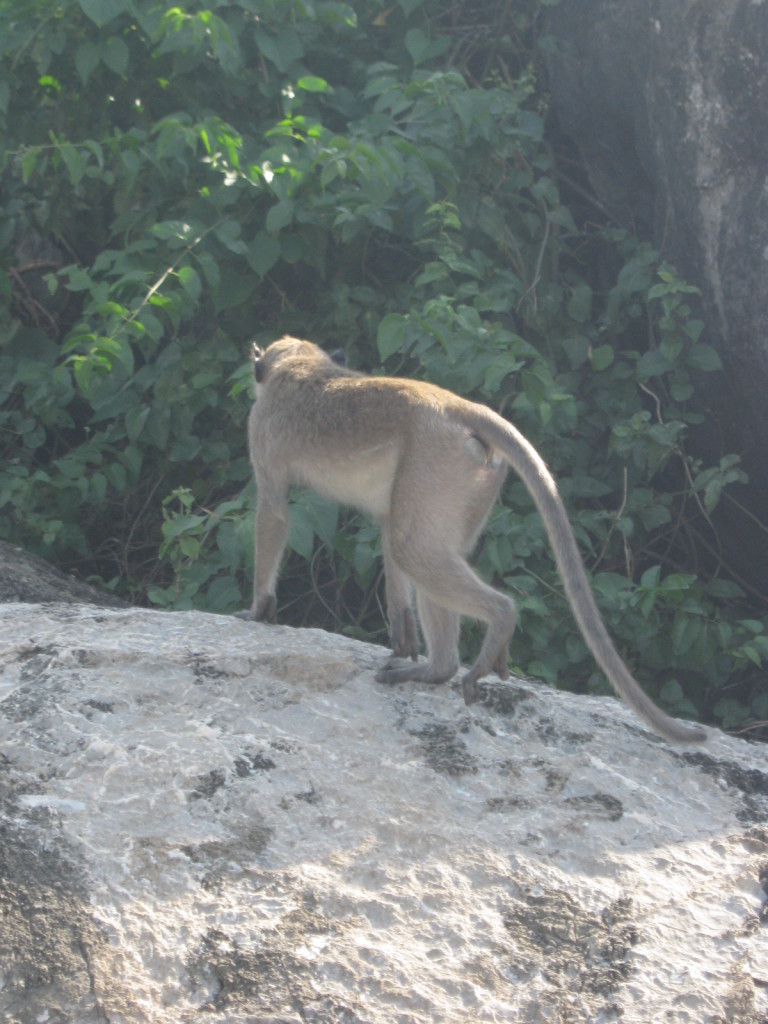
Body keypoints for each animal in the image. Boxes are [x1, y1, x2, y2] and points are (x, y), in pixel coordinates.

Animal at [239, 337, 708, 745]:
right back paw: (438, 669)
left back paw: (494, 623)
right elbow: (387, 526)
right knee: (420, 546)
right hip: (472, 476)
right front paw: (402, 632)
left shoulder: (261, 428)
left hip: (436, 459)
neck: (301, 363)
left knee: (415, 550)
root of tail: (455, 405)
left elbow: (275, 511)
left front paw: (258, 609)